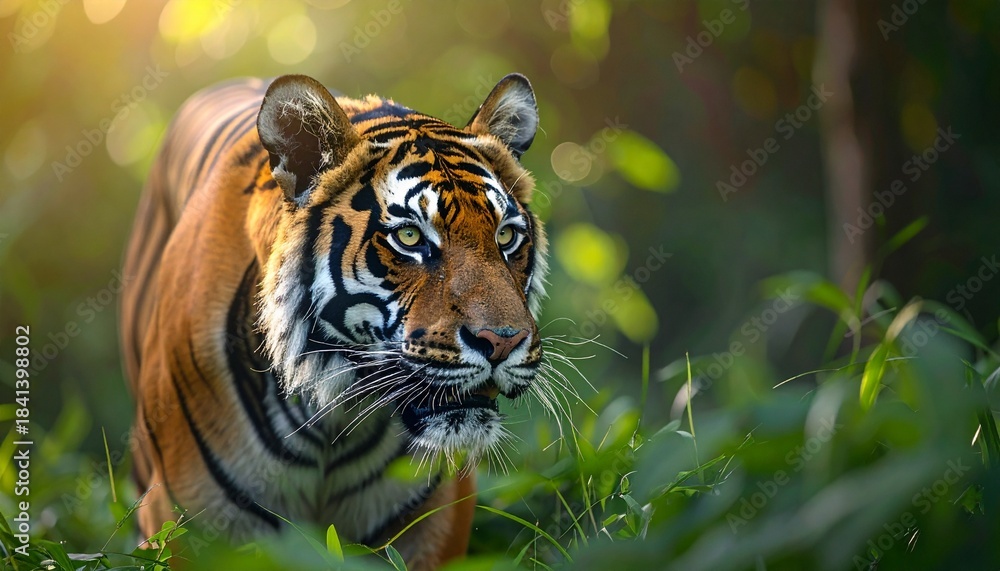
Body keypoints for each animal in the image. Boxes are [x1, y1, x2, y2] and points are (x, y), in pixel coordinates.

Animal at [119, 73, 550, 569]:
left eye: (506, 235)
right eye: (410, 236)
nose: (503, 342)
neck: (334, 417)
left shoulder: (434, 521)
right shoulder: (186, 524)